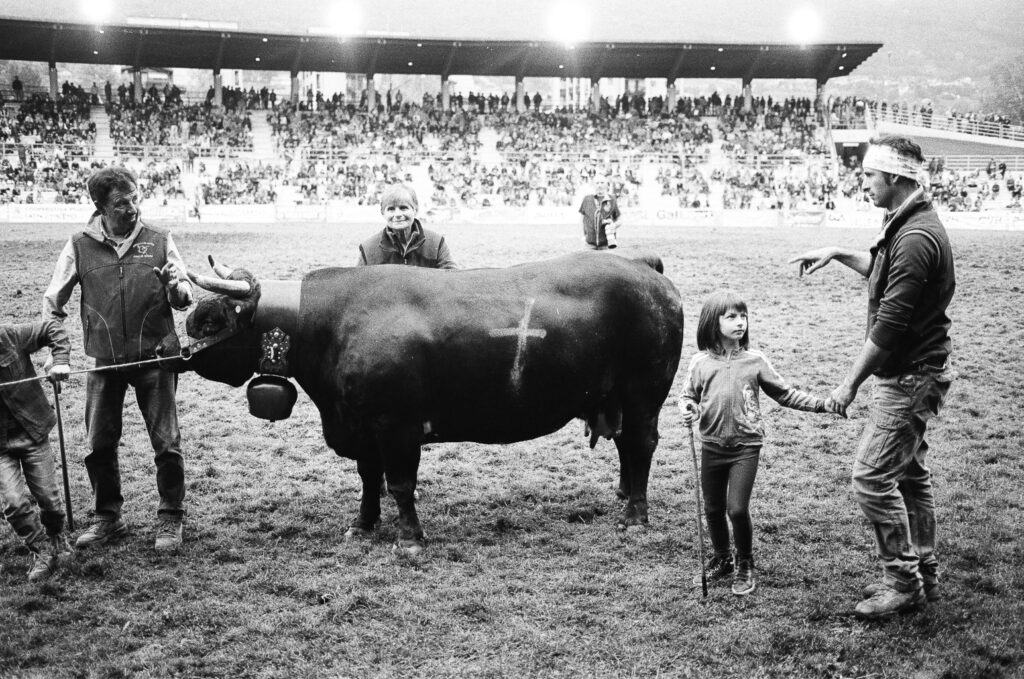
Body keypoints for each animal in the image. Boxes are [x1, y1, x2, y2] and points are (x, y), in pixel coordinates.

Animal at [163, 251, 684, 548]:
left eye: (210, 318)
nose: (173, 350)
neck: (333, 324)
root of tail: (645, 269)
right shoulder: (362, 428)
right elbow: (368, 479)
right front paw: (363, 525)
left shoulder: (397, 426)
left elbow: (400, 484)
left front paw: (409, 539)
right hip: (619, 399)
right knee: (626, 449)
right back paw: (623, 495)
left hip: (644, 395)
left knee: (640, 445)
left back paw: (635, 516)